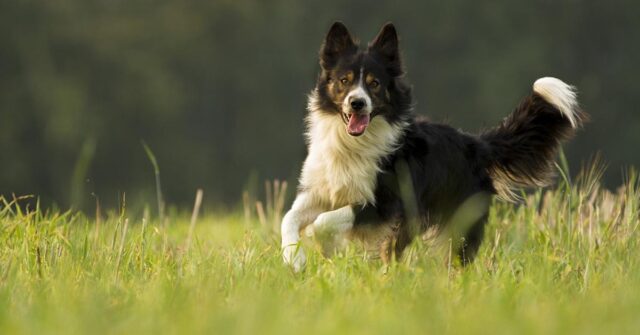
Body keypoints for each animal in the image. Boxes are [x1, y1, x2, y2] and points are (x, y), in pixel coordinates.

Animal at [280, 21, 584, 272]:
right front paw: (294, 259)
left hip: (456, 220)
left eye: (374, 84)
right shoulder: (321, 190)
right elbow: (289, 217)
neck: (352, 143)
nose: (357, 103)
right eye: (344, 80)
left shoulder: (384, 204)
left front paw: (327, 248)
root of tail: (476, 143)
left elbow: (323, 222)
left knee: (456, 258)